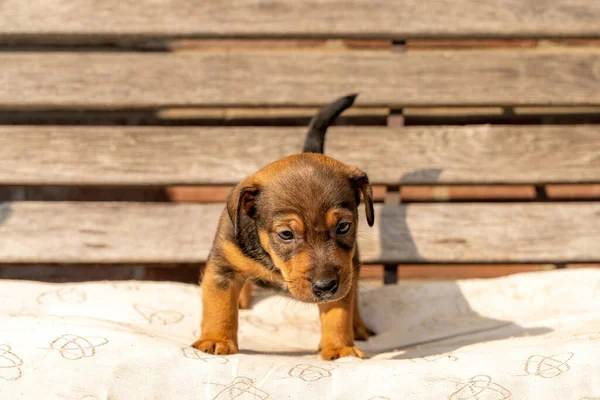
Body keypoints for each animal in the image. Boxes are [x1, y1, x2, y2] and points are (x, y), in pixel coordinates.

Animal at [191, 94, 376, 360]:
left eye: (343, 226)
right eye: (286, 234)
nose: (326, 286)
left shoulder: (343, 271)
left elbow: (338, 313)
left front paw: (340, 348)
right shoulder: (222, 268)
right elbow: (219, 306)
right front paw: (216, 340)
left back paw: (358, 325)